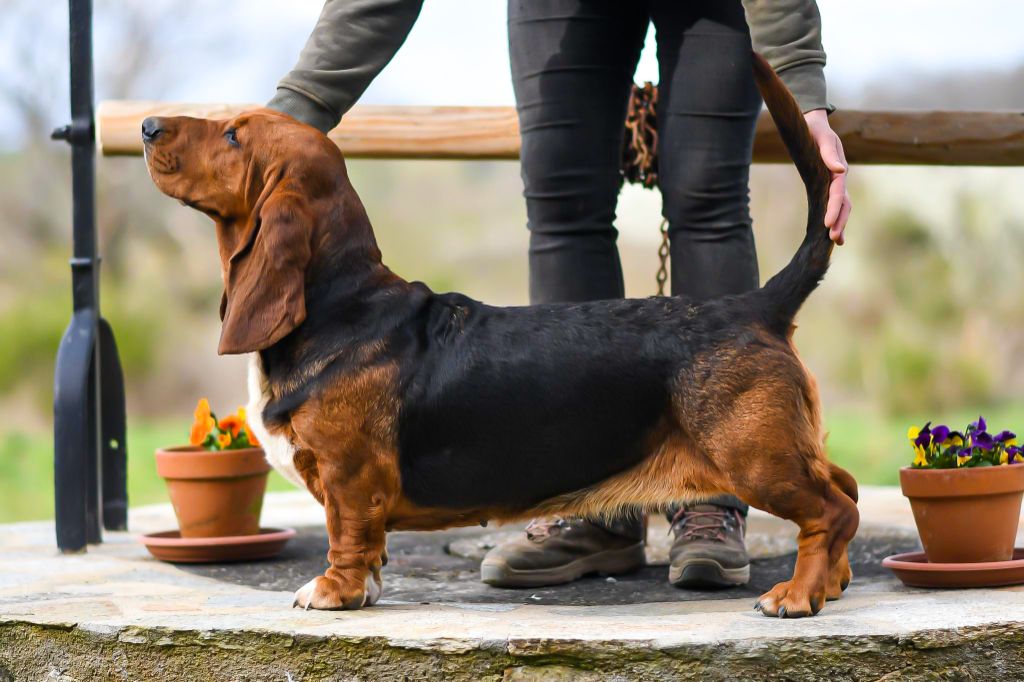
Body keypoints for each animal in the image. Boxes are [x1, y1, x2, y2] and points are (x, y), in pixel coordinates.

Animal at [144, 54, 860, 614]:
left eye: (233, 136)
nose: (149, 125)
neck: (340, 304)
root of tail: (755, 306)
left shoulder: (349, 475)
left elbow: (346, 535)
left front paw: (334, 592)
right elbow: (368, 544)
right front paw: (364, 588)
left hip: (755, 460)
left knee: (831, 510)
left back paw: (797, 595)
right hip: (780, 451)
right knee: (845, 489)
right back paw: (833, 582)